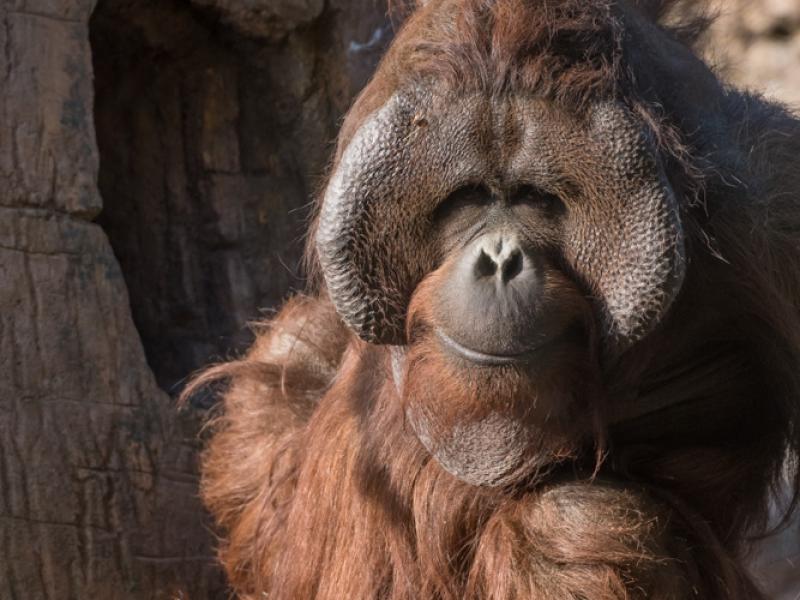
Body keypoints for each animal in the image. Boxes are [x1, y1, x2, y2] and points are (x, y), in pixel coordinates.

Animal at [184, 1, 800, 597]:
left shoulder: (771, 203)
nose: (500, 259)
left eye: (537, 199)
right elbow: (295, 365)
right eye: (470, 198)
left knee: (573, 521)